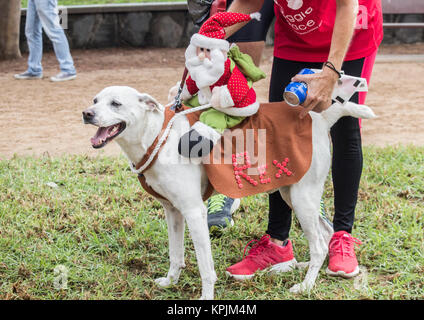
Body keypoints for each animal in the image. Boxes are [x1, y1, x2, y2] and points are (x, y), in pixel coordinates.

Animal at [82, 85, 374, 300]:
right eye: (95, 100)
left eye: (115, 104)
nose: (86, 113)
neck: (158, 138)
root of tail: (320, 118)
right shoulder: (173, 212)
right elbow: (176, 254)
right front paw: (170, 281)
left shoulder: (194, 212)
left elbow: (205, 266)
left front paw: (206, 297)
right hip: (293, 194)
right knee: (324, 234)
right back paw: (306, 269)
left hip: (303, 199)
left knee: (319, 245)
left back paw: (305, 286)